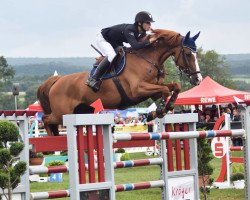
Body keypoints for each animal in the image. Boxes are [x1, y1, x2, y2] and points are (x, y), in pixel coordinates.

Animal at [37, 28, 202, 136]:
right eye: (188, 54)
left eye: (196, 54)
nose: (198, 79)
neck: (148, 59)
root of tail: (57, 80)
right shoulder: (138, 90)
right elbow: (166, 90)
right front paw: (158, 111)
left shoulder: (154, 88)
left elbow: (174, 87)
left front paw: (162, 109)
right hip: (62, 113)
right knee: (46, 119)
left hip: (81, 111)